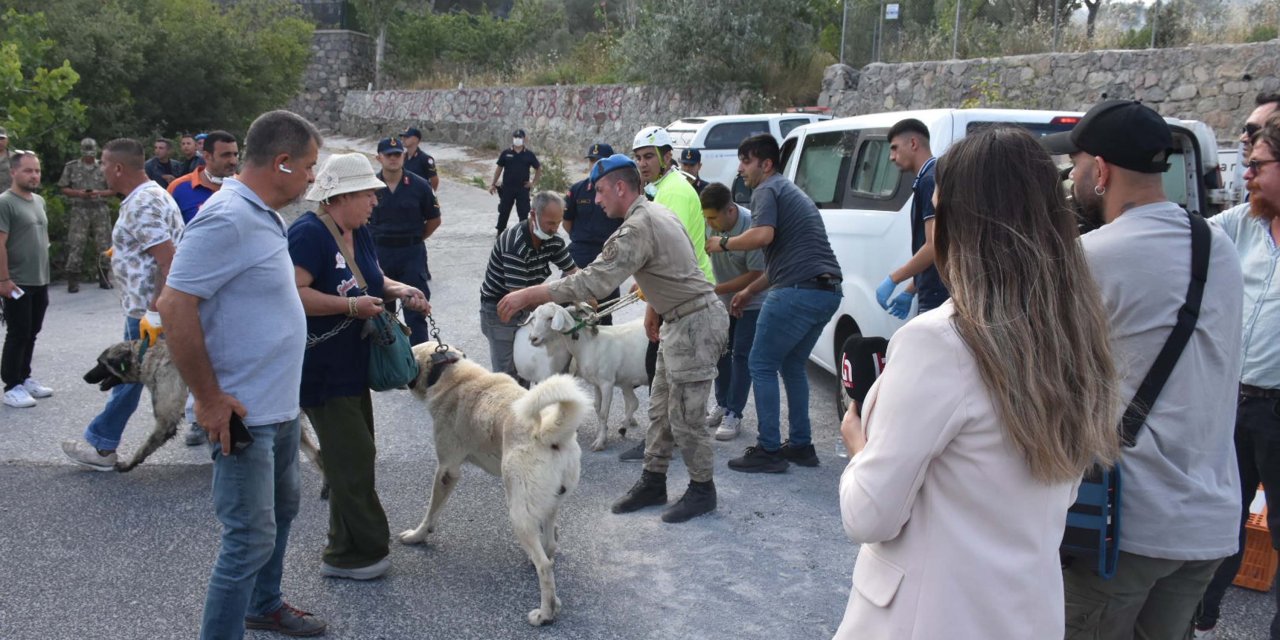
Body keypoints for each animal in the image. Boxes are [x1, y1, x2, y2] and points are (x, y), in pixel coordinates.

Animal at [396, 343, 591, 627]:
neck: (450, 372)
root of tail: (548, 433)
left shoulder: (446, 470)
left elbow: (431, 512)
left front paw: (417, 536)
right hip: (548, 504)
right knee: (549, 548)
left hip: (518, 514)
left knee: (545, 566)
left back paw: (545, 613)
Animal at [524, 303, 650, 450]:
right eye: (535, 317)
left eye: (550, 318)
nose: (533, 338)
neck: (589, 345)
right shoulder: (596, 383)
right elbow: (597, 407)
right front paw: (603, 434)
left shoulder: (607, 383)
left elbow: (603, 413)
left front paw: (599, 442)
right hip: (626, 379)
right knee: (634, 402)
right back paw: (624, 425)